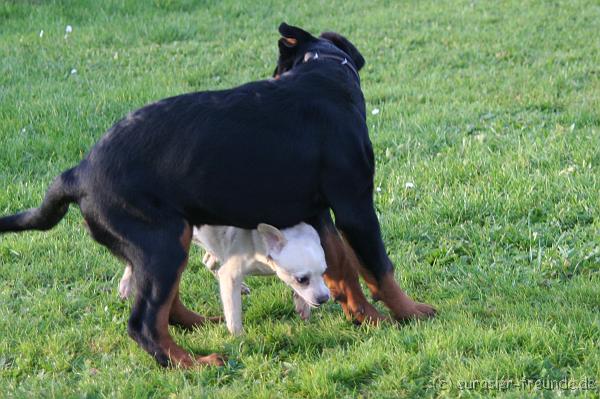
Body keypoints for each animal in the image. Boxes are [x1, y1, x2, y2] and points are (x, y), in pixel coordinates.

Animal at [119, 223, 330, 336]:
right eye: (302, 279)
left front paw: (302, 305)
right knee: (135, 262)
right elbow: (233, 311)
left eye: (324, 272)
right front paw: (239, 337)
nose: (324, 298)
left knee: (209, 261)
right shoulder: (231, 274)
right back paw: (125, 286)